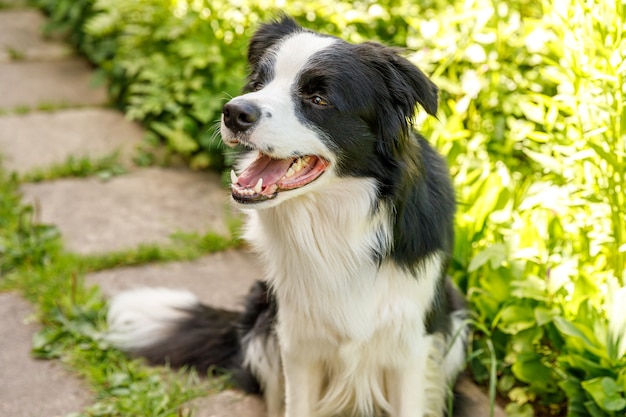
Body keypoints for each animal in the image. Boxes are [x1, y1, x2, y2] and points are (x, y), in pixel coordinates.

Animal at [108, 16, 468, 416]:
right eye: (258, 83)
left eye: (318, 99)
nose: (233, 112)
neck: (338, 224)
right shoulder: (297, 340)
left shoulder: (411, 345)